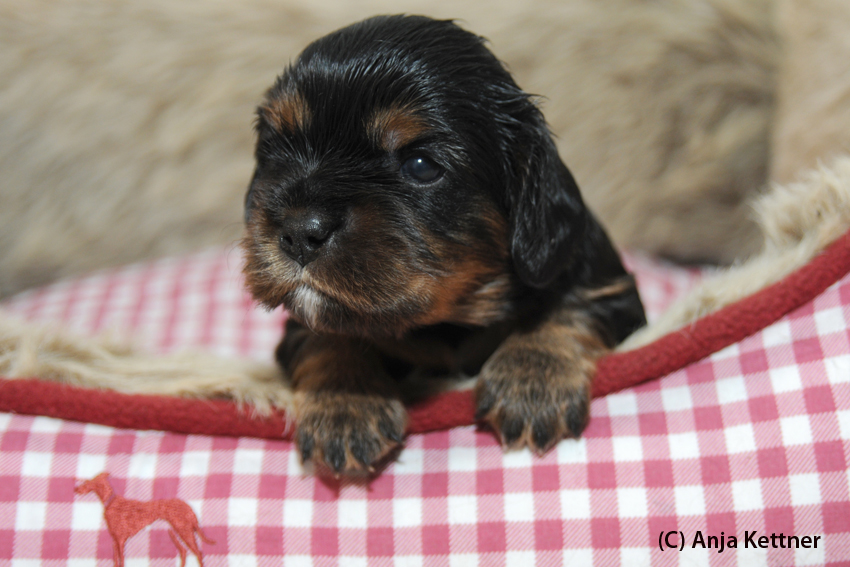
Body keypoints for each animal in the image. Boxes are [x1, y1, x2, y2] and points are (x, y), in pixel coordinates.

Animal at [240, 14, 644, 474]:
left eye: (420, 165)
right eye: (276, 151)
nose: (298, 232)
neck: (450, 318)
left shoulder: (608, 286)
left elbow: (568, 305)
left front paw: (531, 381)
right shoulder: (300, 325)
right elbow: (328, 335)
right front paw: (345, 405)